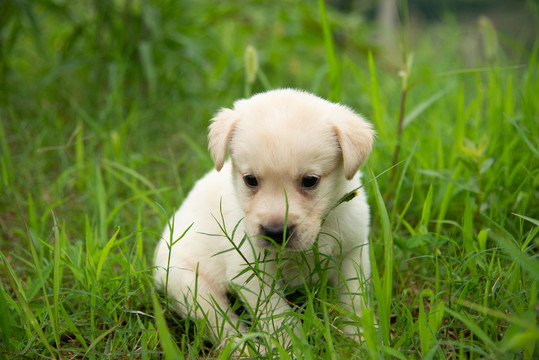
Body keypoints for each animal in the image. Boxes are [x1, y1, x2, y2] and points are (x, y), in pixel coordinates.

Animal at [154, 88, 376, 350]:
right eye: (250, 180)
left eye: (310, 181)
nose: (275, 232)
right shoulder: (250, 272)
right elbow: (279, 318)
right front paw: (293, 349)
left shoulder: (353, 252)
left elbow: (354, 301)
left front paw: (360, 341)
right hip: (188, 284)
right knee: (223, 324)